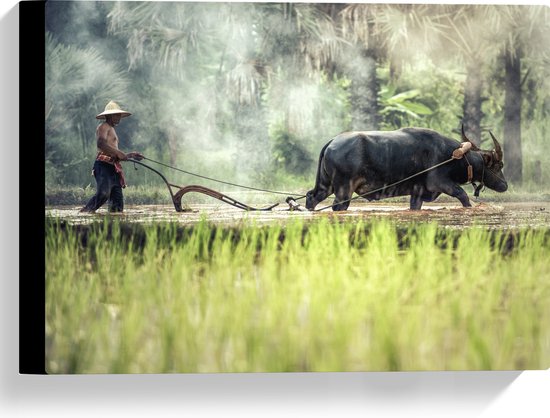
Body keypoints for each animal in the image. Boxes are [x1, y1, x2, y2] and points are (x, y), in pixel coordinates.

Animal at [306, 125, 508, 211]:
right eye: (499, 165)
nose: (505, 185)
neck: (454, 156)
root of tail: (333, 141)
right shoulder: (440, 183)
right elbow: (463, 196)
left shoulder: (417, 193)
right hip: (343, 189)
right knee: (338, 206)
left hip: (325, 185)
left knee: (312, 197)